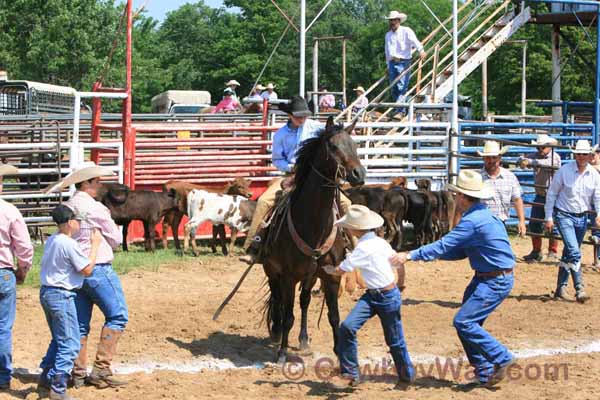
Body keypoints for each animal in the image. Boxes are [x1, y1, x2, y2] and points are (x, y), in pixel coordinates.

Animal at [264, 115, 366, 362]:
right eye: (333, 146)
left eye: (354, 145)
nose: (358, 174)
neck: (313, 225)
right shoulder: (288, 276)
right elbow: (287, 314)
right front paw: (282, 353)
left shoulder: (331, 277)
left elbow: (333, 316)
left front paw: (339, 353)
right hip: (272, 270)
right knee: (278, 299)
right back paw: (277, 333)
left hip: (310, 276)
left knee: (304, 301)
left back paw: (303, 340)